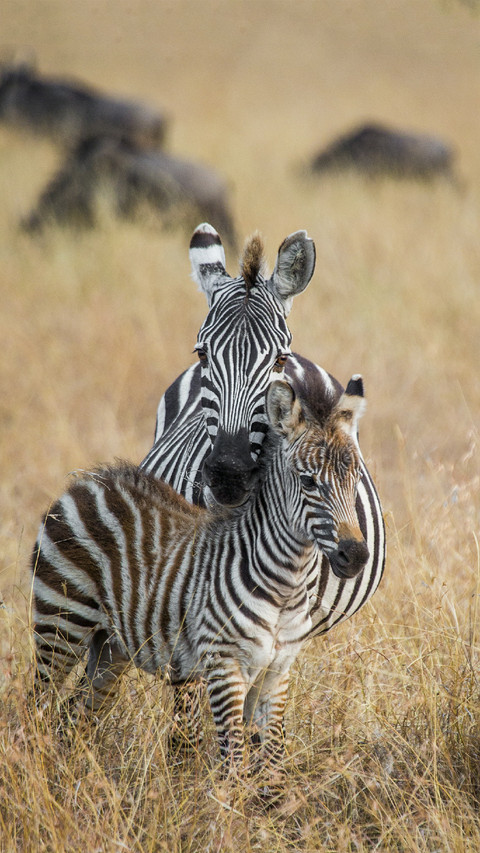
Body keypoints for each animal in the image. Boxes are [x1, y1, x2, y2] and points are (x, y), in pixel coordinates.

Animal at [31, 377, 368, 775]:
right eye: (309, 482)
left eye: (356, 480)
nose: (356, 556)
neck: (286, 586)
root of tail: (88, 481)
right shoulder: (224, 666)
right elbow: (234, 764)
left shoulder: (277, 671)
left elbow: (272, 766)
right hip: (61, 622)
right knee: (37, 707)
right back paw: (35, 771)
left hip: (110, 646)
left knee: (77, 717)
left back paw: (71, 776)